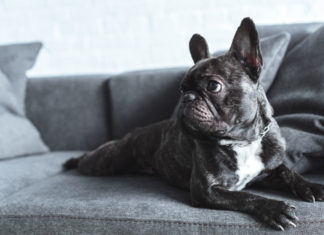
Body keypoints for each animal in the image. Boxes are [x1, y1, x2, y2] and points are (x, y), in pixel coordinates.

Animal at [64, 17, 324, 229]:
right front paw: (275, 208)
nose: (186, 98)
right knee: (88, 159)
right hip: (107, 161)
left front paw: (311, 186)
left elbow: (288, 171)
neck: (243, 141)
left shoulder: (268, 169)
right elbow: (246, 197)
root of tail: (134, 133)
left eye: (213, 86)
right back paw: (72, 161)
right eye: (181, 89)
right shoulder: (206, 190)